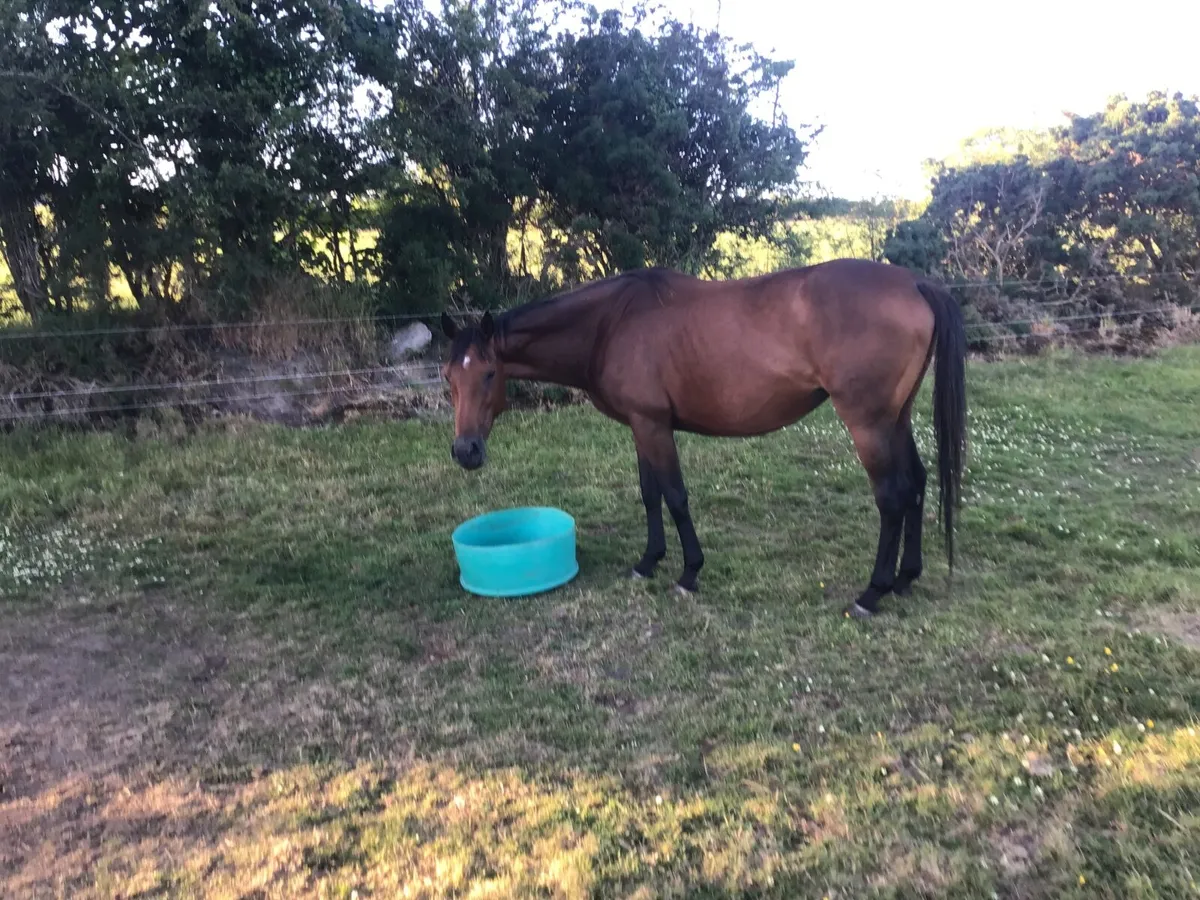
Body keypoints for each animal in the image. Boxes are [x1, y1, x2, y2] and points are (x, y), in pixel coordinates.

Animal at [441, 256, 964, 619]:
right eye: (449, 377)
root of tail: (914, 283)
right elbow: (650, 494)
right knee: (916, 484)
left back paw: (872, 593)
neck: (612, 323)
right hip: (896, 417)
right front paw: (647, 562)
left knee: (892, 496)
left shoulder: (653, 424)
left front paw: (688, 573)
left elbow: (674, 496)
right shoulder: (641, 425)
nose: (466, 451)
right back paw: (905, 579)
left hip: (868, 423)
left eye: (489, 373)